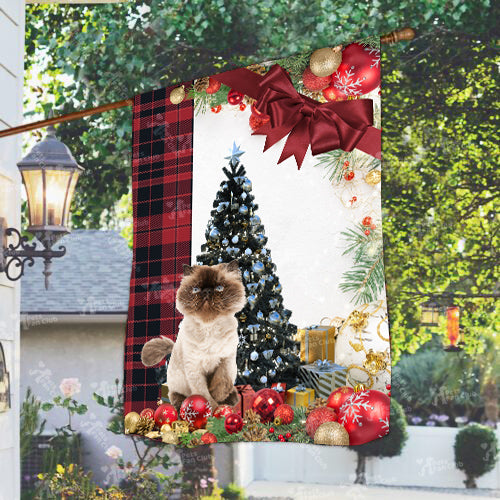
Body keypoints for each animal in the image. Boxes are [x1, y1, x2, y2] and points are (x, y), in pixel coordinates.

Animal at [141, 260, 246, 412]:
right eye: (196, 289)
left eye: (219, 288)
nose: (207, 291)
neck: (209, 327)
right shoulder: (194, 367)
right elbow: (203, 394)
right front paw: (213, 410)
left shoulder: (226, 360)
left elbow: (221, 382)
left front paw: (219, 400)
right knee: (175, 394)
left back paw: (231, 398)